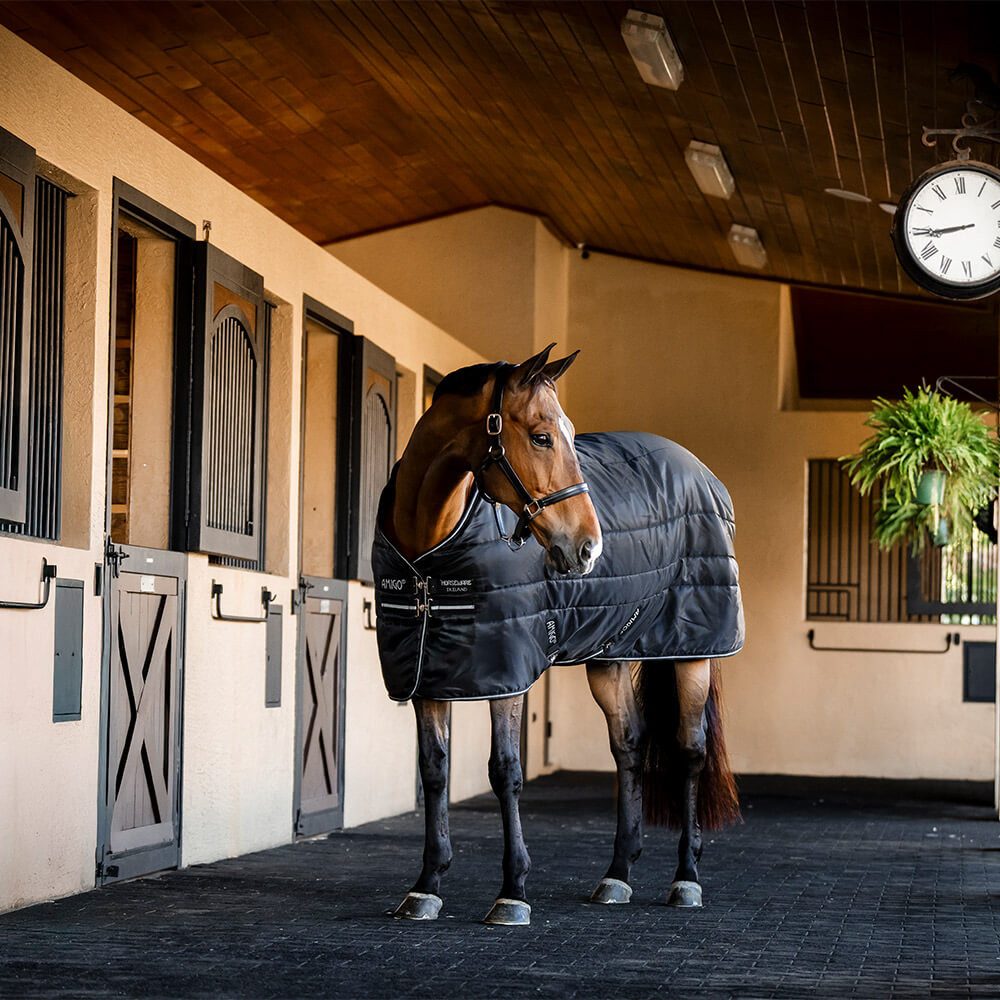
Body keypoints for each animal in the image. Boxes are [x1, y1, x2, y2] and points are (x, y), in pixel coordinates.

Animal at [371, 343, 743, 926]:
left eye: (567, 432)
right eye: (542, 436)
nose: (588, 547)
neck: (428, 555)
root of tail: (703, 473)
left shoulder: (506, 675)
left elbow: (505, 771)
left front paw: (512, 892)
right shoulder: (429, 674)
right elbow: (434, 771)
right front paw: (426, 886)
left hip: (692, 652)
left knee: (689, 751)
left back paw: (686, 879)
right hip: (610, 657)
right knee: (629, 745)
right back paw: (617, 875)